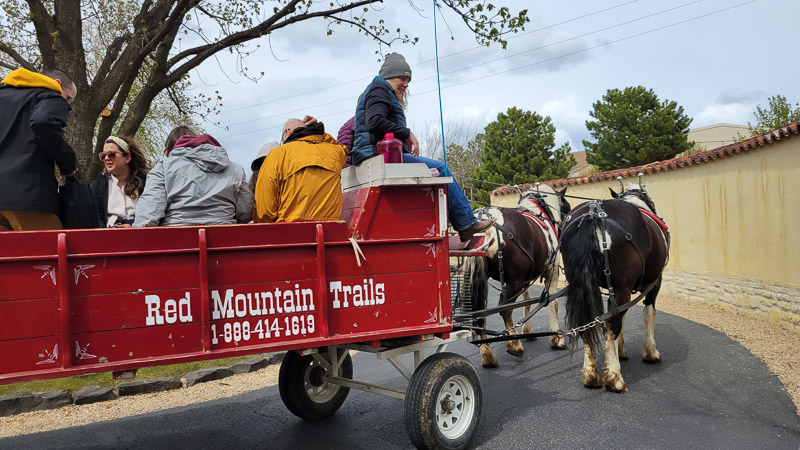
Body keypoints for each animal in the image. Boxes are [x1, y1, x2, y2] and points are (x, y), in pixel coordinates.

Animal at [466, 185, 572, 368]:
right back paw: (514, 345)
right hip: (513, 282)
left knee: (481, 315)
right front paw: (557, 340)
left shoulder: (526, 279)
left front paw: (528, 331)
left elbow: (527, 302)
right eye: (566, 206)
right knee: (505, 310)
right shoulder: (552, 271)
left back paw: (488, 356)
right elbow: (553, 302)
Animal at [560, 185, 672, 392]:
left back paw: (591, 375)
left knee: (587, 324)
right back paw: (614, 377)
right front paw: (651, 353)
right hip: (622, 288)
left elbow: (623, 317)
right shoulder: (654, 282)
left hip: (581, 287)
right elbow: (648, 313)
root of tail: (593, 216)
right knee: (613, 323)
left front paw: (619, 351)